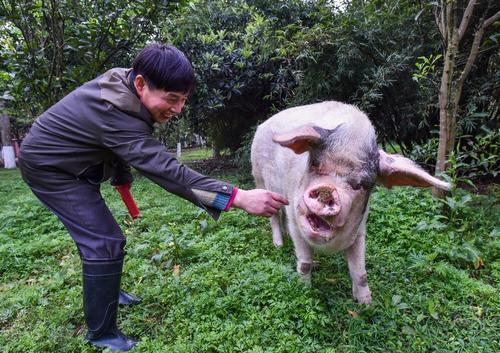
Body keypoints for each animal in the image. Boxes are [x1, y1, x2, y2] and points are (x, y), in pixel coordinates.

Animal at [252, 101, 452, 302]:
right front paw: (304, 291)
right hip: (260, 179)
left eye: (361, 184)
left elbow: (360, 272)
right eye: (315, 164)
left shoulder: (360, 229)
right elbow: (304, 263)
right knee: (273, 216)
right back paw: (279, 245)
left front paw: (366, 303)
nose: (327, 190)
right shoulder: (296, 220)